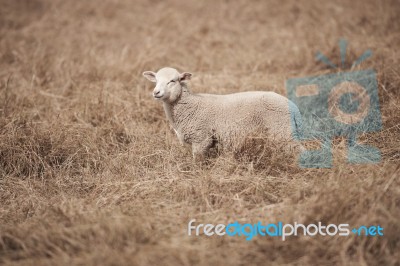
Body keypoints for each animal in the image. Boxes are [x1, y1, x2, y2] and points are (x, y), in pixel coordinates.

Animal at [142, 67, 302, 161]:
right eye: (156, 81)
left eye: (173, 81)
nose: (156, 92)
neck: (190, 104)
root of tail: (294, 107)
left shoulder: (201, 138)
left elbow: (197, 161)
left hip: (282, 130)